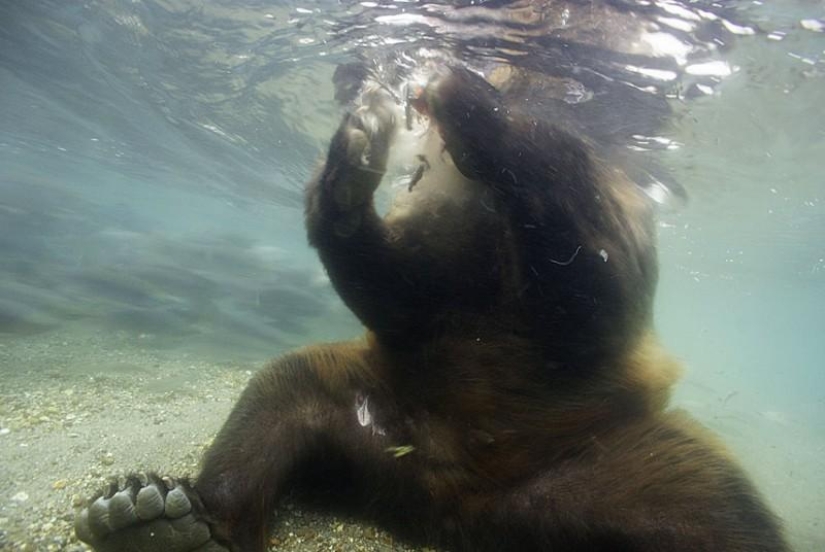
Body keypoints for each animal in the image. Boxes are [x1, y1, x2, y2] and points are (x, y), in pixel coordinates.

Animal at [74, 67, 788, 552]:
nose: (415, 98)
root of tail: (448, 508)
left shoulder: (592, 258)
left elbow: (587, 284)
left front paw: (471, 106)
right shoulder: (436, 265)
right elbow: (397, 288)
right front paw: (358, 144)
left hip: (620, 458)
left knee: (723, 517)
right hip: (364, 408)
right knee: (274, 400)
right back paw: (148, 514)